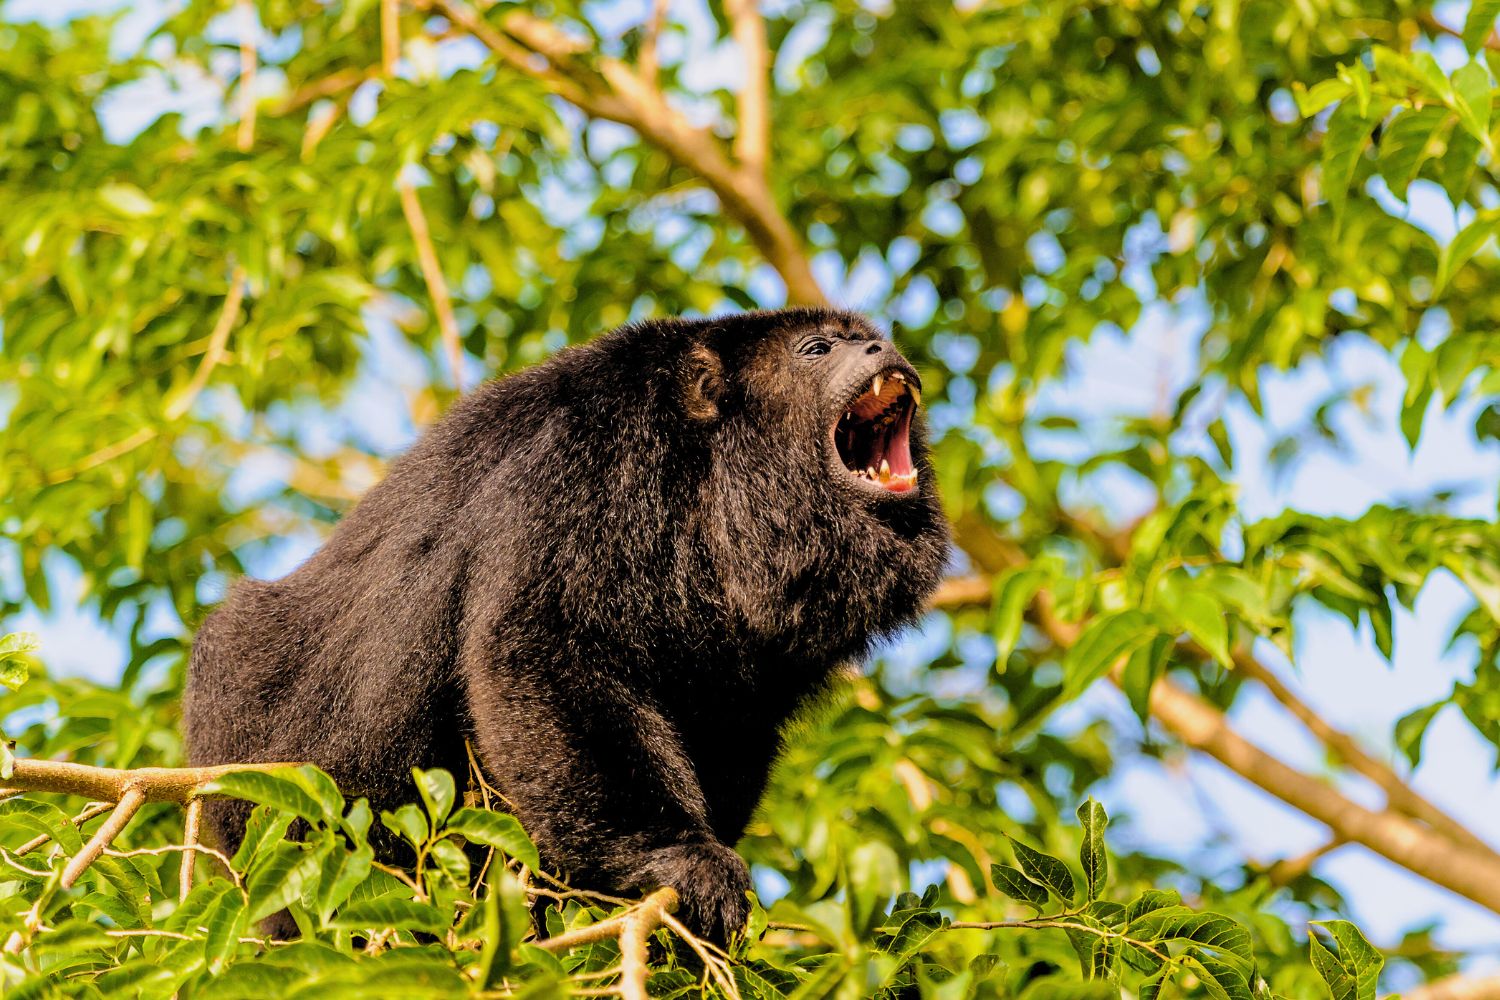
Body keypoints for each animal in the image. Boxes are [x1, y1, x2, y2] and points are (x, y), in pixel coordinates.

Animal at [184, 307, 950, 943]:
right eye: (817, 349)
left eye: (867, 337)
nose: (881, 347)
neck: (713, 472)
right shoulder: (588, 464)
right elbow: (543, 648)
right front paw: (677, 857)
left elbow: (733, 718)